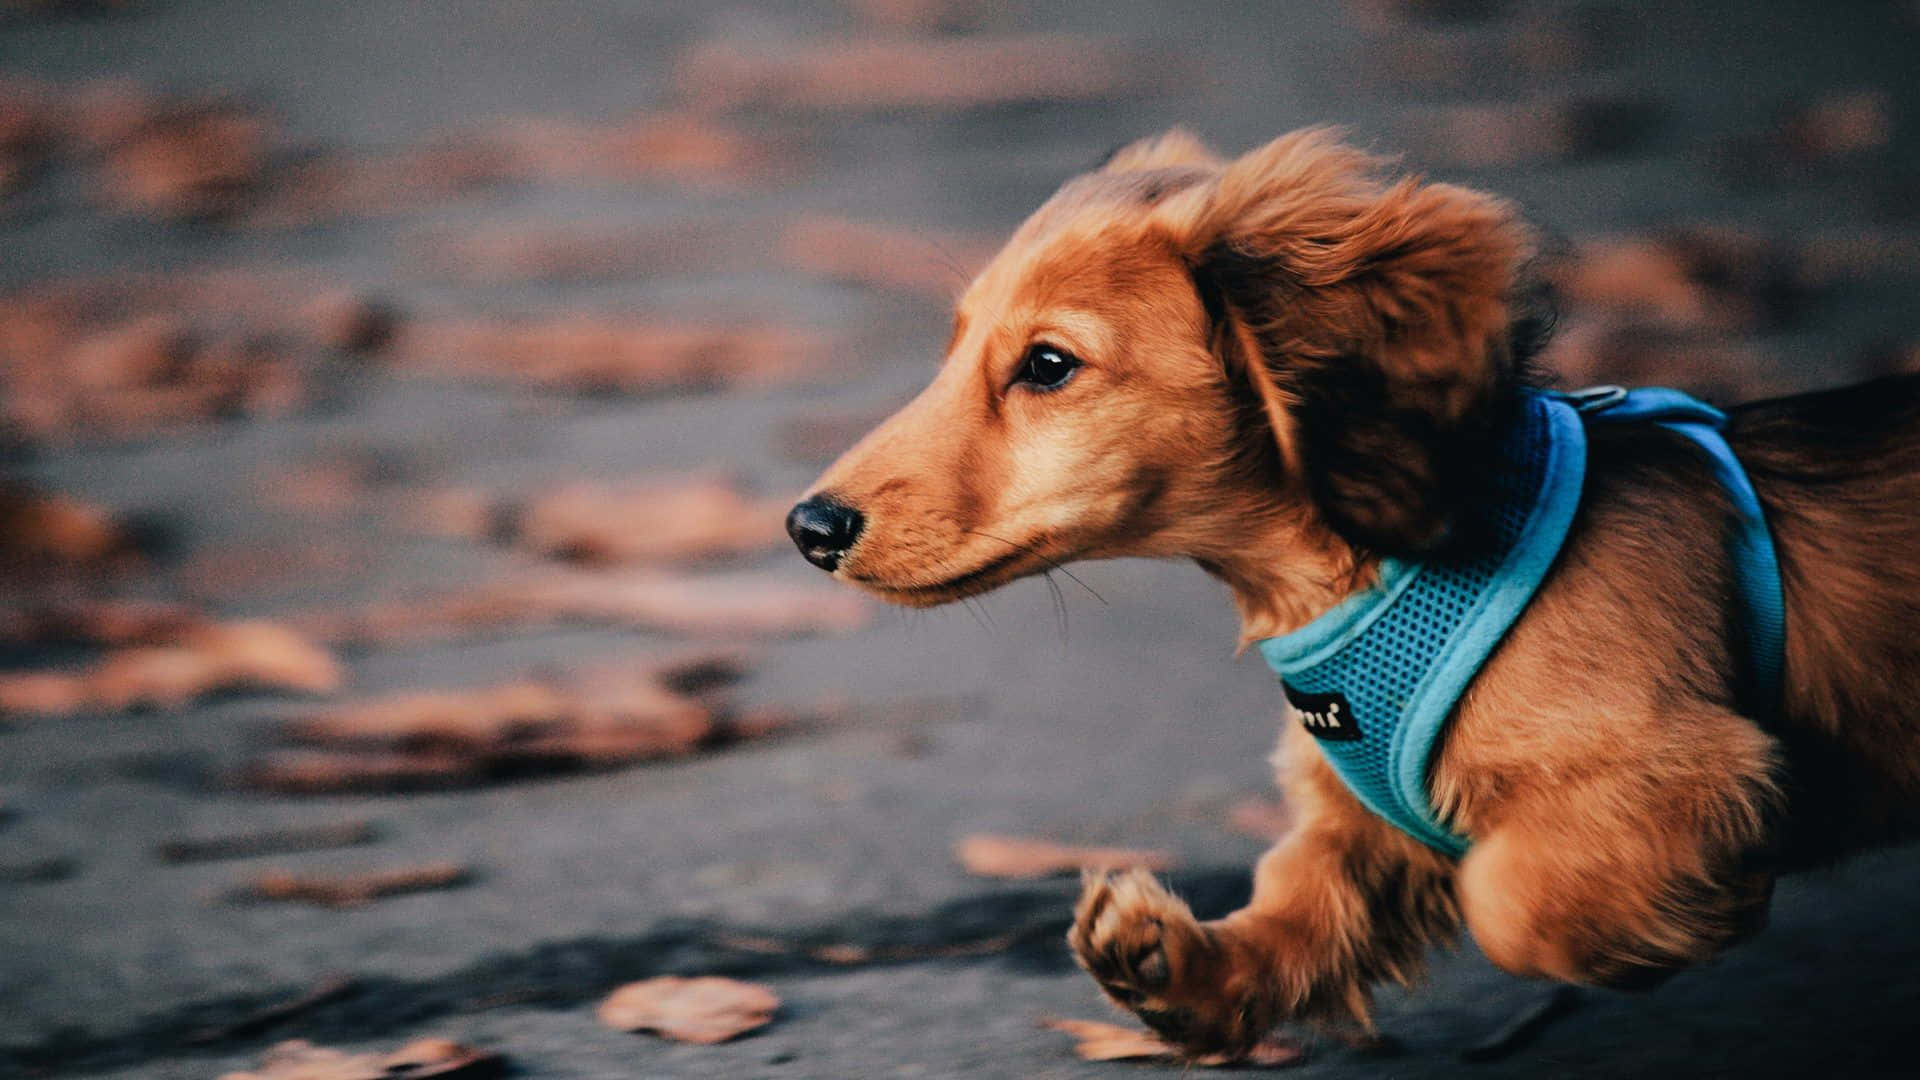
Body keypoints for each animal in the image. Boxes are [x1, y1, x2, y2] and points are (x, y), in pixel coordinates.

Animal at [779, 130, 1920, 1053]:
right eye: (956, 347)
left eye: (1049, 364)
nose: (808, 528)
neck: (1376, 575)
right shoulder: (1353, 824)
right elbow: (1300, 907)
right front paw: (1178, 970)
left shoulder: (1690, 762)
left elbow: (1506, 894)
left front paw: (1673, 916)